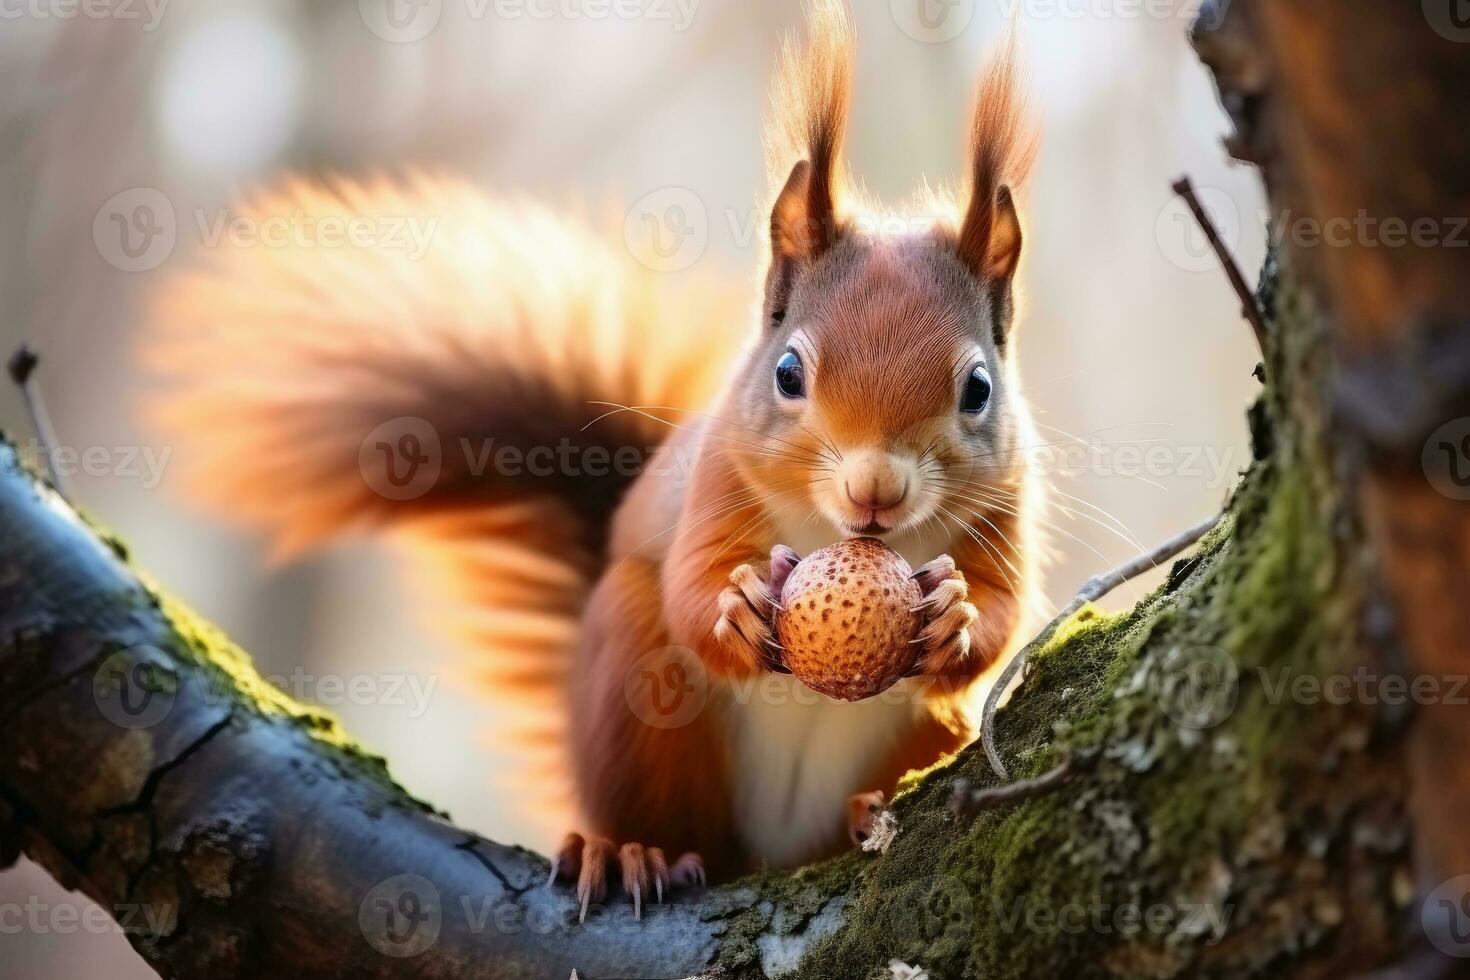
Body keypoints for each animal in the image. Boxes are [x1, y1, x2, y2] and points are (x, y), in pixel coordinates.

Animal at [143, 0, 1040, 922]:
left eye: (978, 388)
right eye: (789, 372)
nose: (875, 490)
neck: (851, 536)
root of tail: (769, 852)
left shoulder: (1007, 510)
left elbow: (1006, 610)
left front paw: (955, 614)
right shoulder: (713, 484)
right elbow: (691, 586)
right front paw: (739, 604)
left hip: (925, 733)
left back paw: (868, 810)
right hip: (633, 679)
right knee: (676, 795)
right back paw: (633, 853)